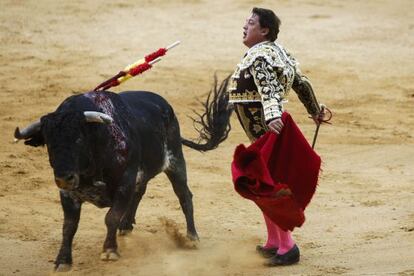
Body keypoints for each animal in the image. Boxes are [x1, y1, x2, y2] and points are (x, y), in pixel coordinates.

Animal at [13, 77, 233, 272]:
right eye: (49, 143)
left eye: (78, 139)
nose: (63, 178)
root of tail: (166, 107)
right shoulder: (69, 194)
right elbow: (69, 226)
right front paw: (63, 261)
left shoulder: (124, 182)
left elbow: (111, 217)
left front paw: (110, 251)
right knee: (140, 192)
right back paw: (127, 225)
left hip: (176, 162)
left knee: (184, 196)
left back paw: (192, 237)